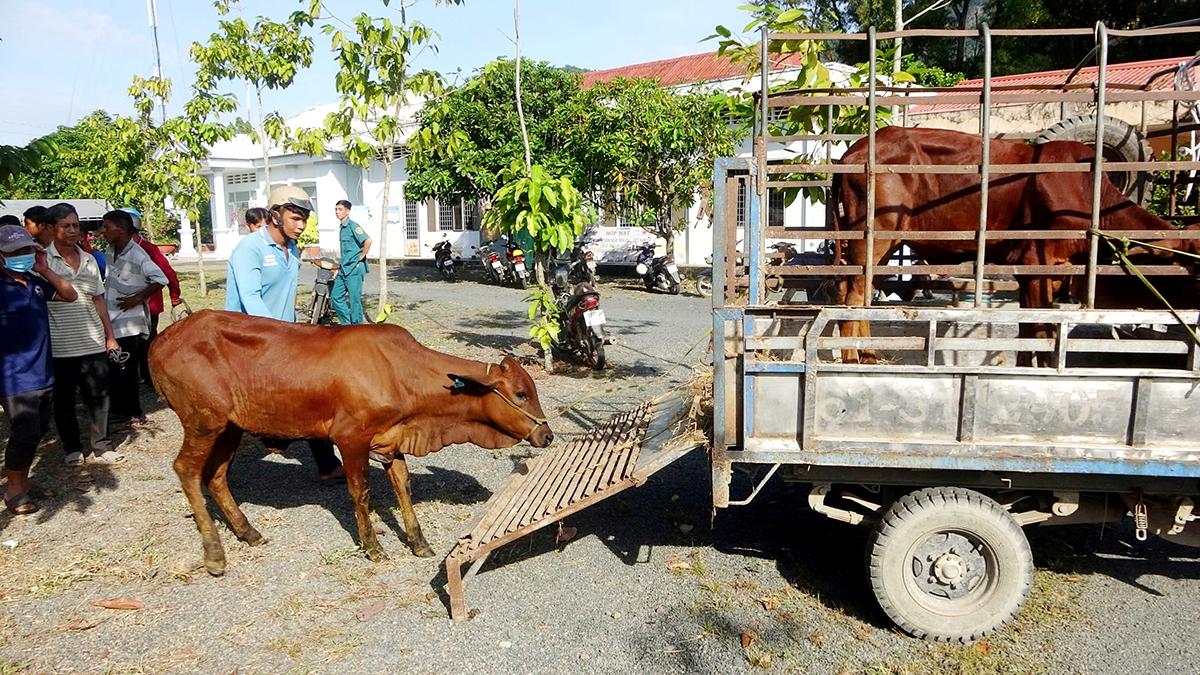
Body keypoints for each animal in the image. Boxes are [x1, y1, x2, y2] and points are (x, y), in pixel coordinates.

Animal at [146, 309, 552, 571]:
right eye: (520, 393)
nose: (547, 434)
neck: (402, 371)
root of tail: (161, 339)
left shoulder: (391, 441)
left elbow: (403, 487)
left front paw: (418, 543)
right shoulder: (351, 438)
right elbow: (361, 492)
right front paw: (372, 547)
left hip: (229, 427)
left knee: (216, 475)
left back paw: (248, 532)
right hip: (203, 422)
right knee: (186, 470)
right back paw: (215, 553)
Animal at [835, 123, 1200, 360]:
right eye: (1195, 273)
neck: (1087, 192)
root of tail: (855, 150)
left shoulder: (1040, 272)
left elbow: (1033, 332)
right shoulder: (1037, 262)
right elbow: (1041, 330)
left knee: (858, 294)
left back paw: (870, 356)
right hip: (875, 239)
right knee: (853, 297)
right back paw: (855, 360)